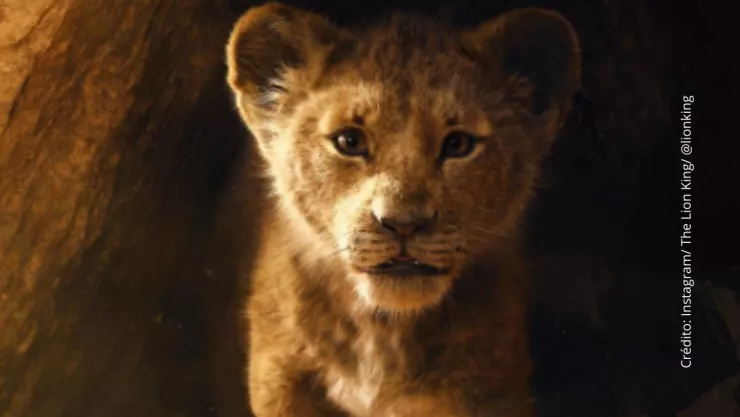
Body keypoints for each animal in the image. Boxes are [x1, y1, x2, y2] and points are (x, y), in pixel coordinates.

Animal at [225, 2, 580, 416]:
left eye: (458, 144)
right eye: (349, 141)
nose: (404, 224)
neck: (382, 332)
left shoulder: (490, 388)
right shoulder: (281, 377)